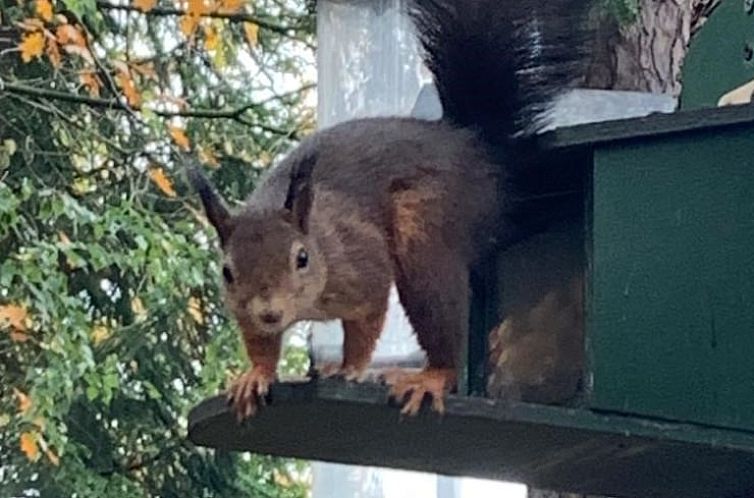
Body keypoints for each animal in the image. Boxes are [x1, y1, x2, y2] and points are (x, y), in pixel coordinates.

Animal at [188, 0, 588, 420]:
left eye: (302, 258)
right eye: (227, 272)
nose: (270, 313)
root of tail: (475, 151)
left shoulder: (361, 264)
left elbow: (366, 321)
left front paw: (350, 367)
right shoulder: (244, 310)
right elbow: (259, 342)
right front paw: (257, 375)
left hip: (424, 230)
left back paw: (431, 377)